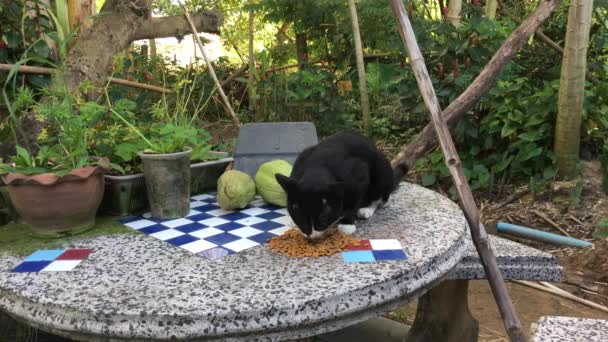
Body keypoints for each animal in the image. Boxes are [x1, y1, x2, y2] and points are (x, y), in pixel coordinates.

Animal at [276, 131, 408, 240]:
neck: (318, 167)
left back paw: (367, 208)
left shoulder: (360, 173)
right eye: (300, 218)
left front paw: (347, 223)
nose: (311, 236)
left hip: (382, 169)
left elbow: (354, 201)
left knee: (384, 198)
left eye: (323, 219)